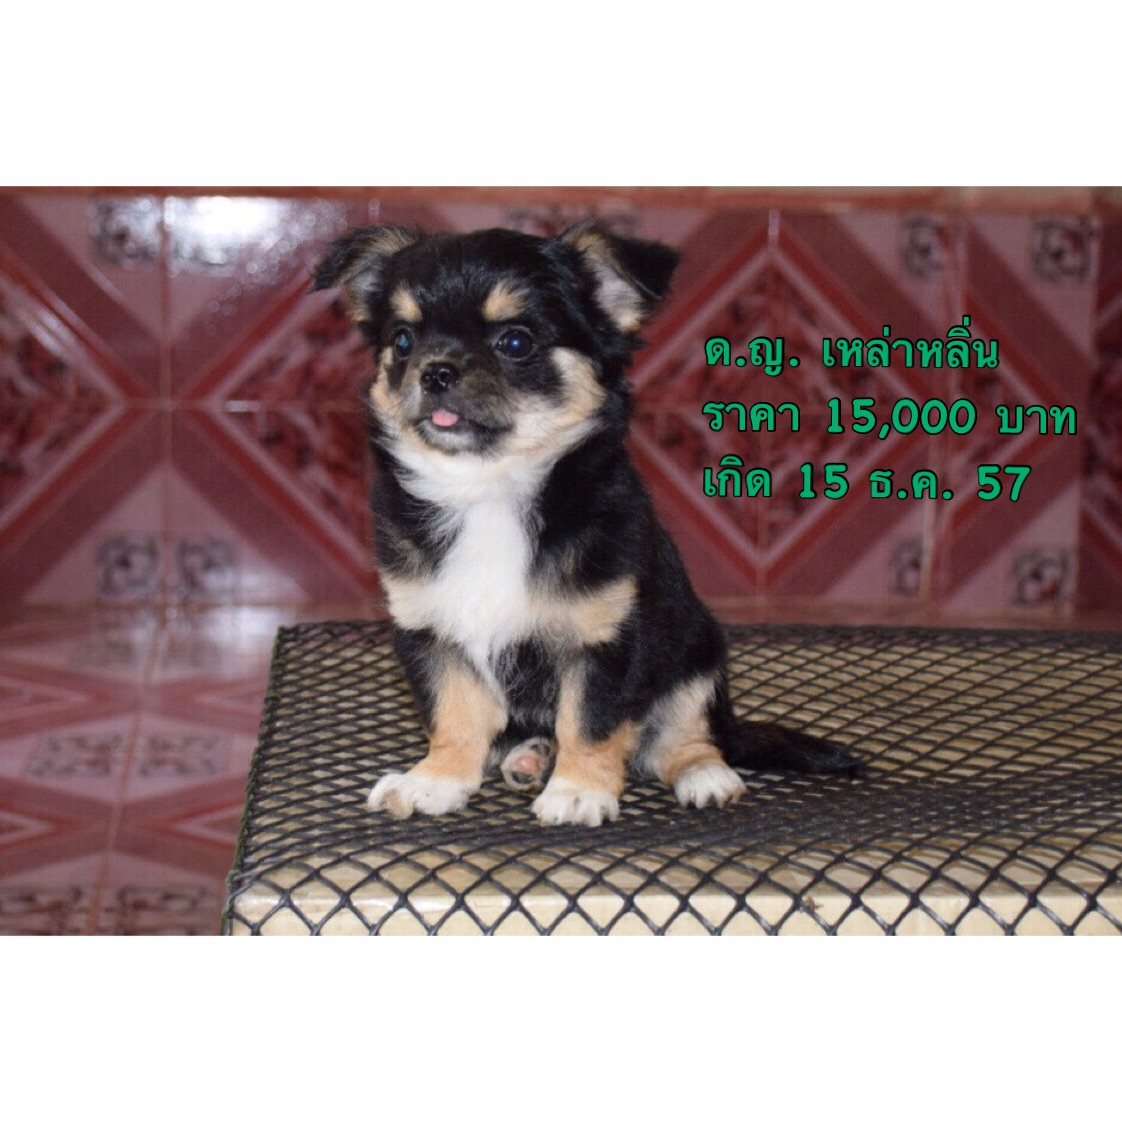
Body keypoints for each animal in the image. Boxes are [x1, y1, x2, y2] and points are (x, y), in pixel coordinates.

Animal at [312, 221, 860, 827]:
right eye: (404, 341)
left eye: (516, 342)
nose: (435, 371)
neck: (489, 488)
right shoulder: (430, 632)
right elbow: (453, 714)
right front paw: (436, 780)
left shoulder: (604, 639)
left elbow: (590, 721)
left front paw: (578, 791)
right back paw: (529, 755)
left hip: (698, 657)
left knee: (681, 739)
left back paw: (705, 774)